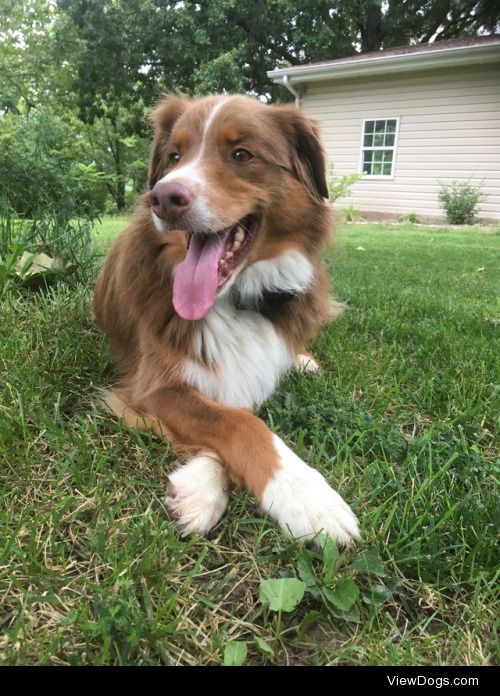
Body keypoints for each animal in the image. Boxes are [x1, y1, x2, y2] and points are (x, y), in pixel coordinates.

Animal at [94, 95, 360, 548]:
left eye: (241, 155)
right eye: (174, 156)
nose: (164, 197)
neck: (235, 299)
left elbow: (239, 409)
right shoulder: (153, 386)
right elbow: (237, 419)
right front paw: (305, 495)